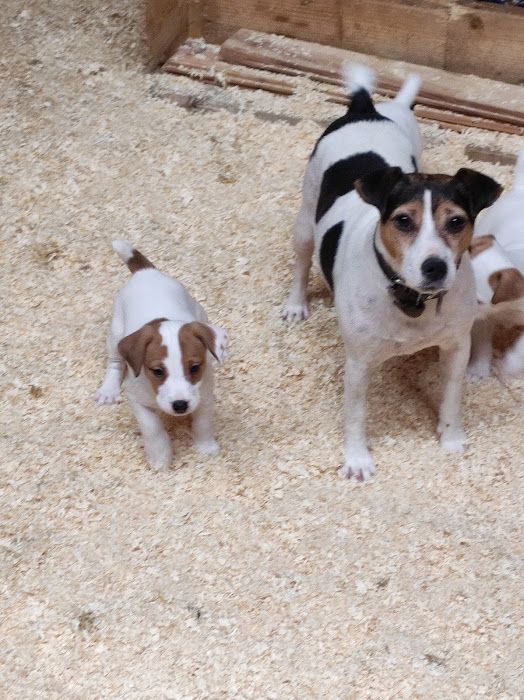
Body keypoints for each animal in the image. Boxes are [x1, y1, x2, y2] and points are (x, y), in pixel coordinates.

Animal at [95, 240, 228, 471]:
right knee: (115, 362)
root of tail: (146, 272)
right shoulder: (138, 401)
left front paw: (206, 447)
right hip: (115, 334)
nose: (180, 405)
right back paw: (108, 390)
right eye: (157, 371)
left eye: (195, 368)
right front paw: (160, 459)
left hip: (200, 312)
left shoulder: (204, 395)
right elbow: (153, 429)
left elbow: (203, 423)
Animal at [282, 63, 502, 481]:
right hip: (304, 220)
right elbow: (356, 415)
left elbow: (452, 398)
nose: (435, 266)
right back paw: (295, 304)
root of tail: (365, 109)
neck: (412, 301)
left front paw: (451, 439)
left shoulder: (456, 347)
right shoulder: (358, 362)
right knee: (301, 261)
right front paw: (357, 460)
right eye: (403, 221)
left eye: (456, 222)